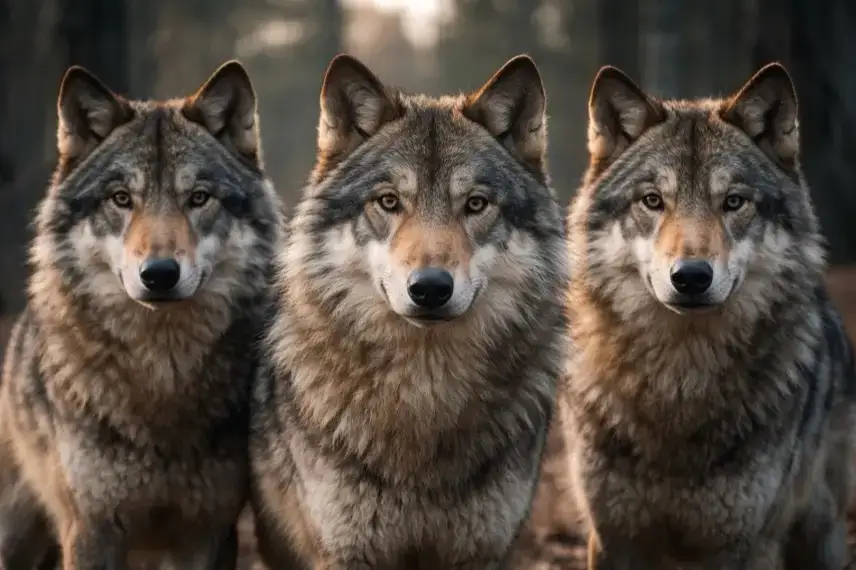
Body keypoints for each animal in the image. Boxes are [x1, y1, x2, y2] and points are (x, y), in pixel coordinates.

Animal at [0, 59, 282, 569]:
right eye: (121, 199)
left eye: (198, 198)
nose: (160, 274)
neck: (161, 376)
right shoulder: (91, 529)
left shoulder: (207, 530)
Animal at [249, 53, 569, 570]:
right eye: (389, 202)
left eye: (475, 204)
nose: (431, 288)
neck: (425, 392)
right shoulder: (346, 551)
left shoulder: (481, 550)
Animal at [564, 61, 856, 570]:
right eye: (653, 200)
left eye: (734, 202)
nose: (691, 276)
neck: (680, 381)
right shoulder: (613, 538)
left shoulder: (743, 545)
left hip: (821, 535)